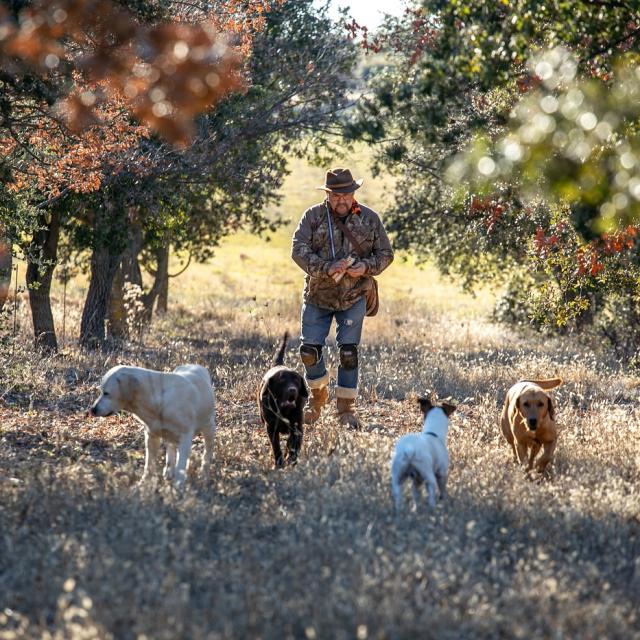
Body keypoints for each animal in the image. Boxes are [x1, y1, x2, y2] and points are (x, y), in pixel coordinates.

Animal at [89, 362, 218, 488]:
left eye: (106, 393)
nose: (92, 410)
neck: (159, 401)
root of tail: (195, 365)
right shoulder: (151, 436)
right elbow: (149, 465)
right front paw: (144, 483)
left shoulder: (185, 436)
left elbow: (181, 465)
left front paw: (178, 486)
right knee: (171, 448)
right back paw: (169, 471)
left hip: (209, 427)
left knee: (207, 451)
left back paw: (204, 474)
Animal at [260, 332, 310, 468]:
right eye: (281, 381)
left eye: (296, 380)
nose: (292, 390)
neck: (284, 410)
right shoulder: (271, 428)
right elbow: (276, 446)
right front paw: (279, 463)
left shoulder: (297, 427)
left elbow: (293, 445)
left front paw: (292, 460)